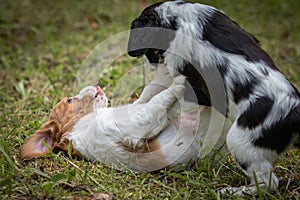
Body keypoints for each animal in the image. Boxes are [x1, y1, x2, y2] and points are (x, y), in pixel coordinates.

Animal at [127, 0, 300, 195]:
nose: (151, 62)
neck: (176, 20)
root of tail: (295, 113)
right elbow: (155, 89)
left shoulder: (194, 88)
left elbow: (170, 106)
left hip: (241, 142)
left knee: (268, 183)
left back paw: (234, 192)